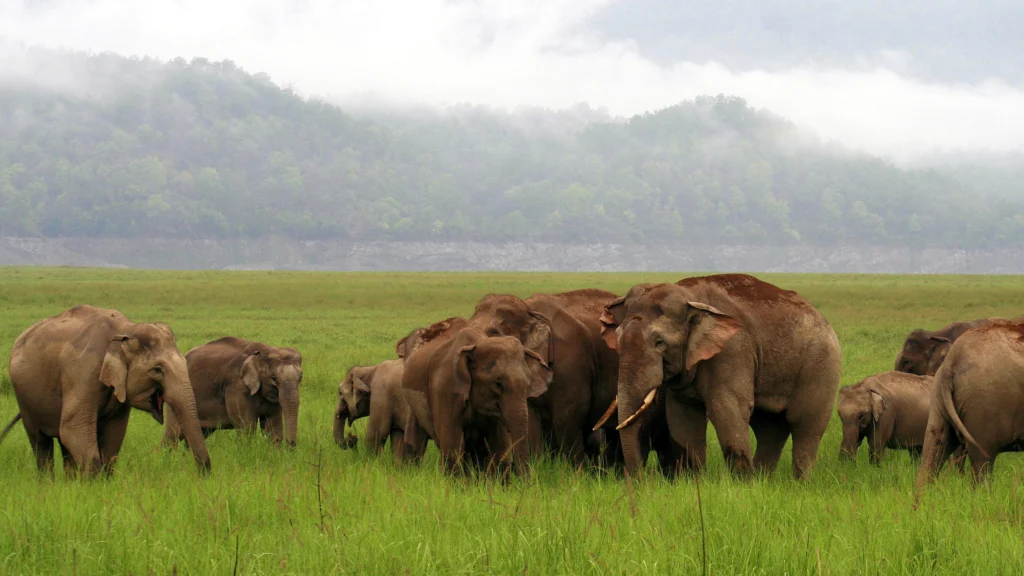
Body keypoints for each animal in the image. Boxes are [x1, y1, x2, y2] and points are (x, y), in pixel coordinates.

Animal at [1, 305, 209, 475]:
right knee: (41, 442)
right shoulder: (83, 370)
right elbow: (73, 429)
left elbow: (114, 434)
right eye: (157, 370)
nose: (203, 474)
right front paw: (93, 485)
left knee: (63, 445)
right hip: (23, 397)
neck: (125, 330)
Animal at [161, 336, 301, 448]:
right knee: (173, 435)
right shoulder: (237, 388)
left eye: (300, 378)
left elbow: (273, 429)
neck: (266, 351)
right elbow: (247, 428)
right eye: (273, 378)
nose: (291, 447)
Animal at [399, 325, 552, 473]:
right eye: (498, 383)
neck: (477, 344)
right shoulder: (445, 389)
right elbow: (452, 446)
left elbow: (500, 448)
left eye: (528, 383)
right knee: (415, 440)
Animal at [598, 270, 839, 477]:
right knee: (769, 428)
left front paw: (743, 488)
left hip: (821, 365)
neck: (690, 298)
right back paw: (765, 482)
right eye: (617, 340)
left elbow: (727, 409)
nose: (640, 480)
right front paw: (697, 481)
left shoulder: (733, 349)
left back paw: (799, 481)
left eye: (660, 343)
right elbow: (683, 417)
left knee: (805, 425)